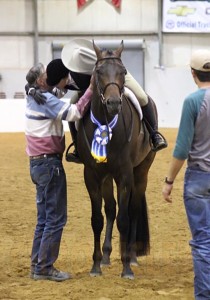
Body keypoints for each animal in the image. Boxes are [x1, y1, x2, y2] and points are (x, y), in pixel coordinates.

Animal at [76, 40, 155, 278]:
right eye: (98, 72)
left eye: (124, 72)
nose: (112, 103)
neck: (105, 122)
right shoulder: (92, 174)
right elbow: (97, 219)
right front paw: (95, 265)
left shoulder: (125, 174)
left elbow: (124, 218)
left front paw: (126, 267)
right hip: (107, 176)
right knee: (110, 209)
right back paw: (107, 257)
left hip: (141, 172)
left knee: (133, 210)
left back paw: (131, 256)